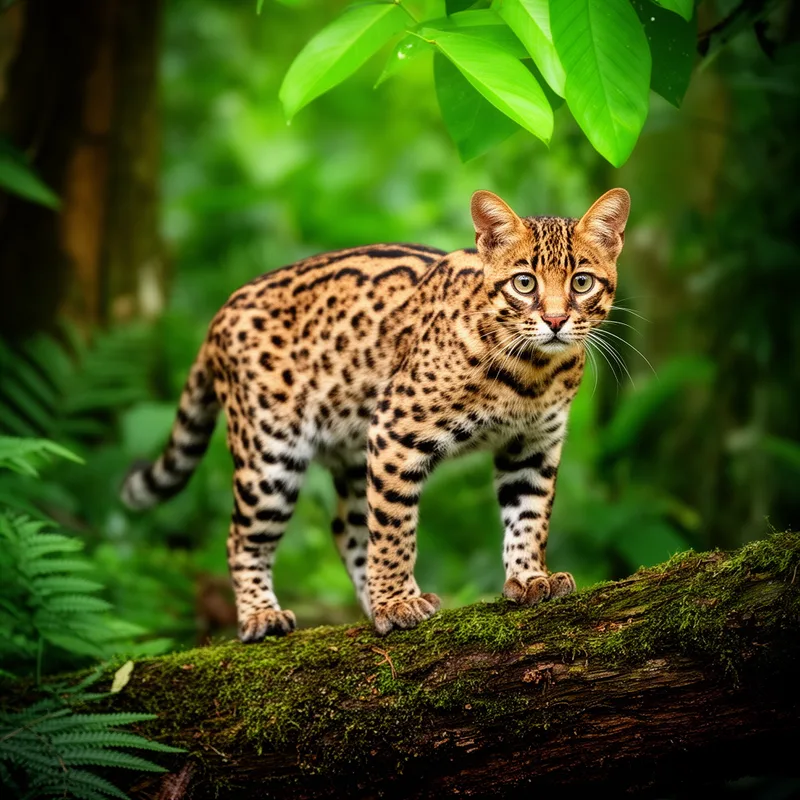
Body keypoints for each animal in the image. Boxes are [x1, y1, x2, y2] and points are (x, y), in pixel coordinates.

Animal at [121, 188, 630, 639]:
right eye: (525, 283)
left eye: (581, 281)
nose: (556, 321)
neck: (532, 373)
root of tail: (221, 313)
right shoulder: (396, 431)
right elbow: (394, 528)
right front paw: (396, 603)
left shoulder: (533, 447)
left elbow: (529, 517)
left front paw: (529, 578)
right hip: (268, 458)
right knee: (243, 538)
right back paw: (262, 615)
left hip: (347, 447)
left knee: (345, 526)